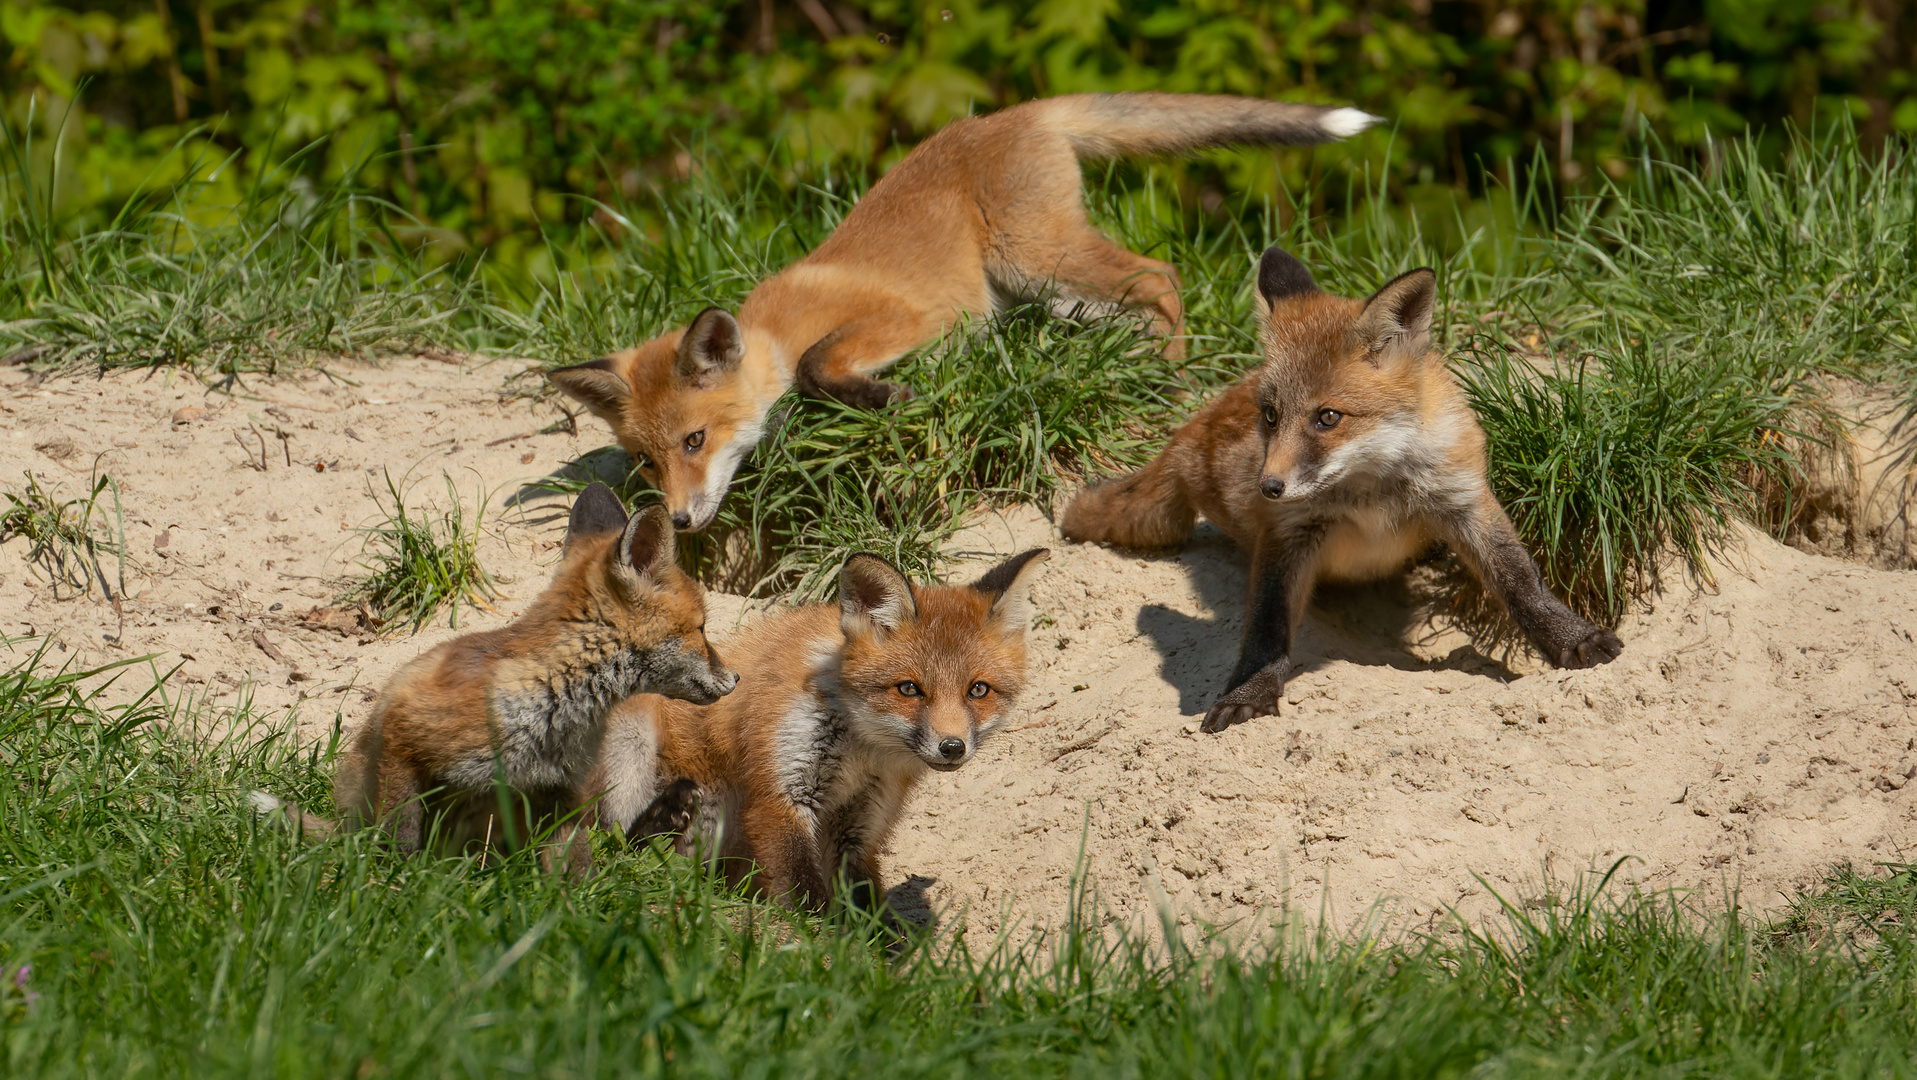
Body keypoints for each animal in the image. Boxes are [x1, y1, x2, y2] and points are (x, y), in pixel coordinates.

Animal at [251, 485, 728, 874]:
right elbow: (400, 840)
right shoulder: (403, 734)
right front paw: (395, 885)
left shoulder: (561, 794)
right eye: (702, 629)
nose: (735, 677)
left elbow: (577, 871)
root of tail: (343, 825)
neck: (554, 706)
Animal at [552, 93, 1380, 533]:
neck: (772, 328)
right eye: (647, 460)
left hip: (1034, 257)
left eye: (695, 440)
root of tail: (1022, 111)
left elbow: (820, 365)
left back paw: (1170, 381)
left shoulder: (914, 318)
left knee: (1161, 275)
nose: (678, 521)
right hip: (1047, 289)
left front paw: (885, 397)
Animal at [590, 548, 1058, 913]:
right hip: (629, 733)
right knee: (610, 848)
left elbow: (867, 906)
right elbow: (806, 897)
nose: (952, 747)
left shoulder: (860, 821)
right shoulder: (781, 795)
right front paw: (818, 944)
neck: (862, 748)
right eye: (909, 688)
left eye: (978, 690)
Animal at [1058, 247, 1625, 736]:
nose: (1268, 487)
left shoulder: (1463, 499)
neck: (1371, 489)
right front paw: (1251, 691)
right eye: (1271, 416)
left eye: (1327, 417)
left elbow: (1522, 585)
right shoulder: (1287, 531)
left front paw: (1575, 641)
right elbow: (1266, 627)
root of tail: (1190, 434)